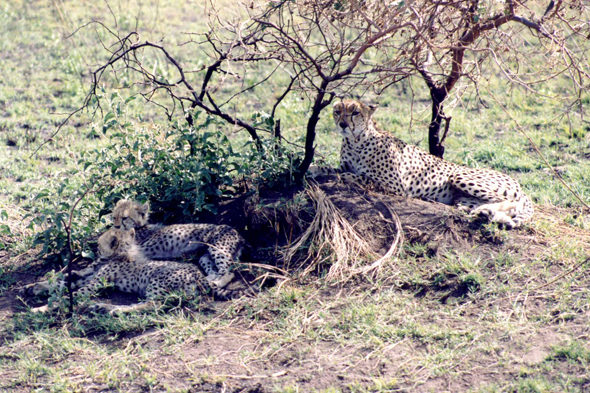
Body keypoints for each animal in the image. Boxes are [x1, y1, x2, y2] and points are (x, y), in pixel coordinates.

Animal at [310, 98, 536, 228]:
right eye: (337, 111)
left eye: (355, 112)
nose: (342, 124)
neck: (355, 140)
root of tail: (517, 183)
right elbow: (333, 168)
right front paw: (313, 168)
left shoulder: (395, 186)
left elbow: (351, 175)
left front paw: (333, 175)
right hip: (461, 199)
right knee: (496, 208)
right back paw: (485, 213)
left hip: (459, 176)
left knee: (511, 202)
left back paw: (487, 212)